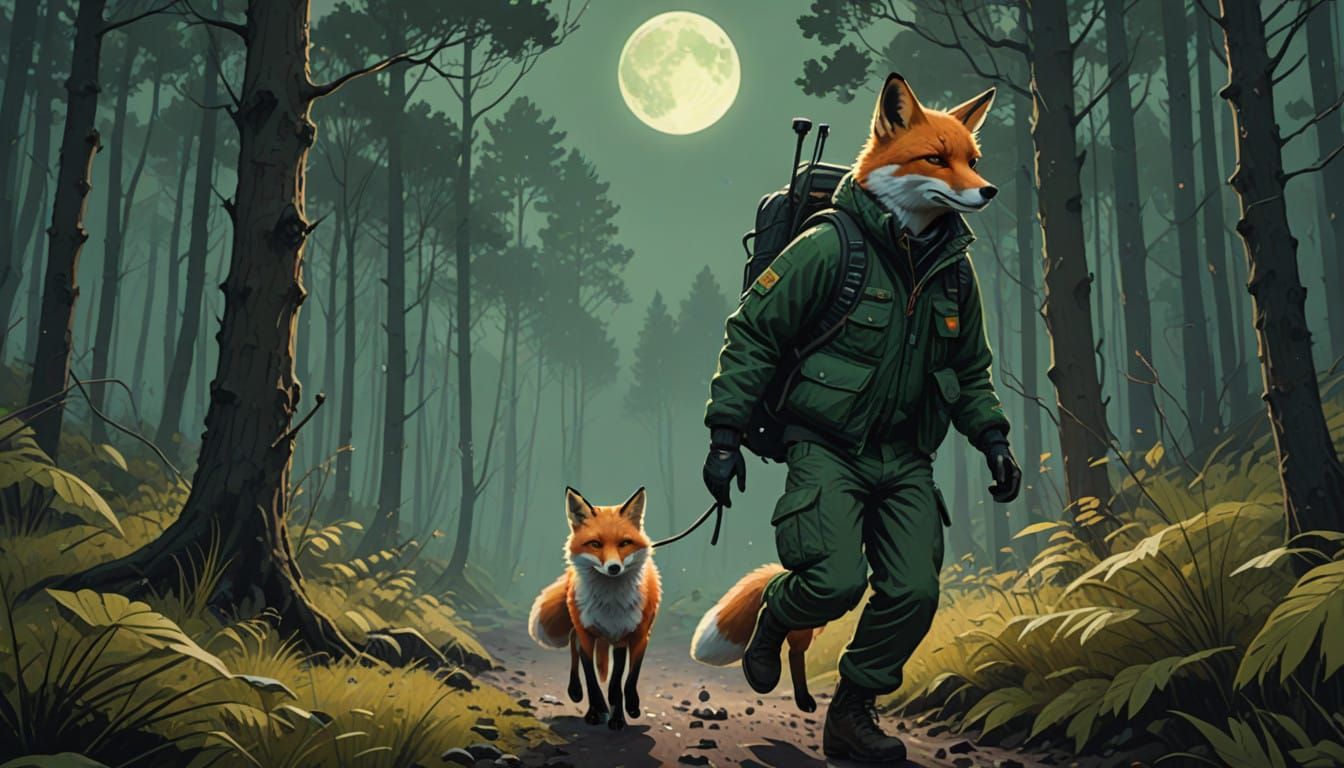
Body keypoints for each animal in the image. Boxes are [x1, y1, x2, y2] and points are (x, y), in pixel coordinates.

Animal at [528, 486, 660, 730]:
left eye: (624, 543)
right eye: (595, 544)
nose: (614, 568)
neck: (610, 604)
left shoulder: (635, 637)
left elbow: (625, 681)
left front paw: (626, 711)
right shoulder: (587, 635)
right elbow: (591, 678)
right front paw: (597, 709)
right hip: (580, 626)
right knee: (574, 649)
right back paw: (577, 693)